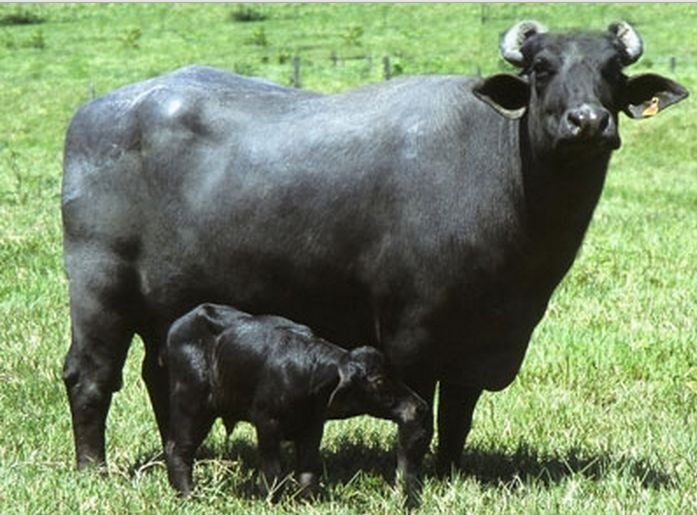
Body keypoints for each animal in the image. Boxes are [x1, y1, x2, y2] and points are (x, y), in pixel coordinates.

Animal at [61, 20, 688, 480]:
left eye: (612, 70)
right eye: (541, 68)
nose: (588, 121)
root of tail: (97, 113)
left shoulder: (485, 339)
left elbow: (459, 415)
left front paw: (450, 471)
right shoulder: (412, 333)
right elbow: (422, 410)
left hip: (167, 308)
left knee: (159, 373)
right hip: (99, 289)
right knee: (90, 375)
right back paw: (93, 468)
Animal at [163, 303, 430, 502]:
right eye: (378, 380)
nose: (419, 406)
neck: (305, 377)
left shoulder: (313, 427)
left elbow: (308, 470)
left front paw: (309, 500)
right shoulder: (267, 422)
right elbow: (273, 470)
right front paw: (271, 499)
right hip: (191, 404)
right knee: (178, 449)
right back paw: (188, 495)